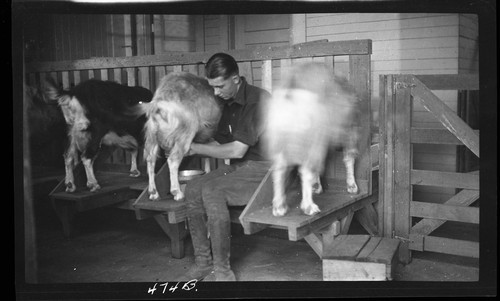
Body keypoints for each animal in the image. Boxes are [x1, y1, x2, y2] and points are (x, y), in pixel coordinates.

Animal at [139, 71, 221, 200]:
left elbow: (207, 155)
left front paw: (207, 171)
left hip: (152, 134)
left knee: (150, 159)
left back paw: (153, 193)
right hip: (186, 133)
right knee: (173, 160)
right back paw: (177, 193)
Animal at [262, 61, 360, 216]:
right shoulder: (348, 129)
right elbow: (349, 156)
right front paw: (352, 186)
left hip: (281, 140)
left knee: (280, 168)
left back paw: (279, 207)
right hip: (315, 137)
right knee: (306, 168)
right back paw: (309, 206)